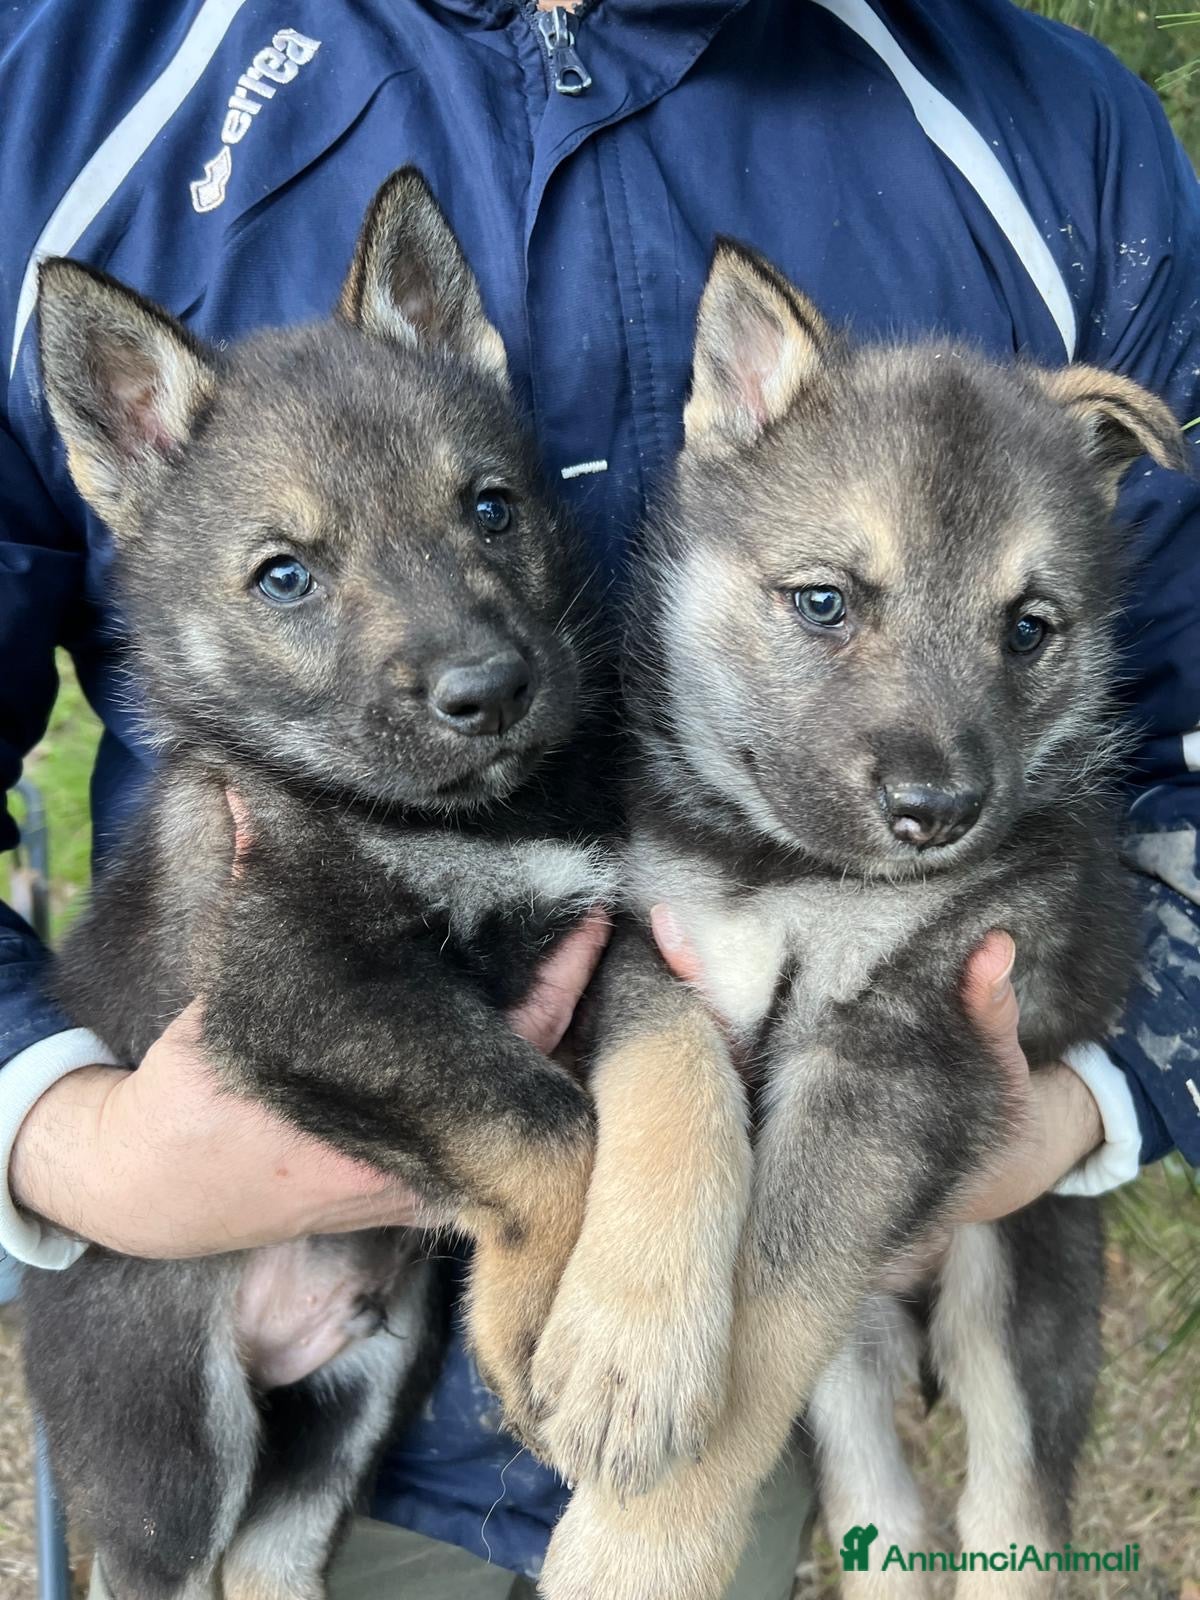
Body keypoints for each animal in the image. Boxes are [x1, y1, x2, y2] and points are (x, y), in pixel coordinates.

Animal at [22, 168, 617, 1600]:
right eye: (285, 575)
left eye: (490, 507)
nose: (489, 690)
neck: (470, 817)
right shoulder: (296, 977)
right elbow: (546, 1122)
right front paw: (535, 1338)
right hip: (169, 1446)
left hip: (345, 1408)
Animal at [527, 242, 1184, 1599]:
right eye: (824, 601)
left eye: (1028, 629)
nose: (939, 811)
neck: (792, 877)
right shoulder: (660, 953)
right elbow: (674, 1106)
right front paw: (625, 1356)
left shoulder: (907, 1051)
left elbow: (773, 1291)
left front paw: (636, 1540)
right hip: (856, 1377)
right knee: (883, 1503)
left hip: (1012, 1282)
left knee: (1008, 1509)